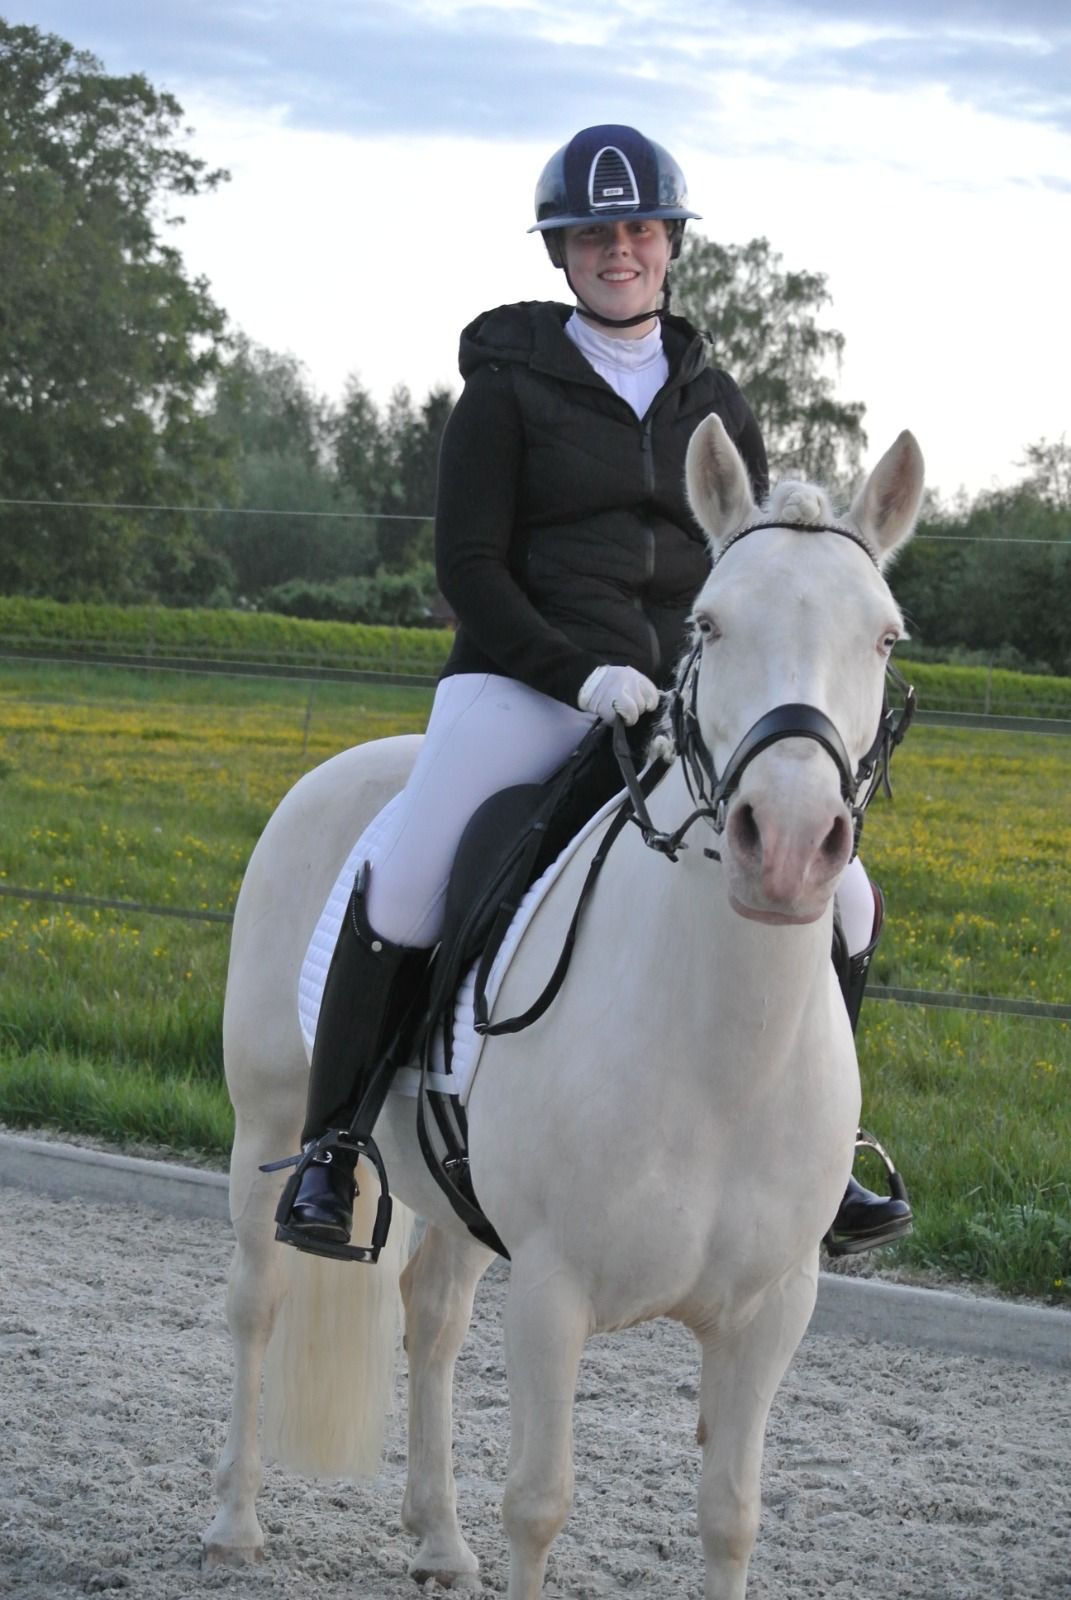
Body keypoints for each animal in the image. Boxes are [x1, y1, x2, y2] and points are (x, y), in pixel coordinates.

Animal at [202, 414, 924, 1599]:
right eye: (709, 622)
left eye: (885, 638)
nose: (785, 845)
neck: (721, 1060)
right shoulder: (553, 1290)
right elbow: (539, 1505)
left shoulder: (771, 1312)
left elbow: (730, 1517)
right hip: (266, 1125)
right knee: (255, 1304)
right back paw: (234, 1521)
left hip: (455, 1197)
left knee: (433, 1323)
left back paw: (438, 1541)